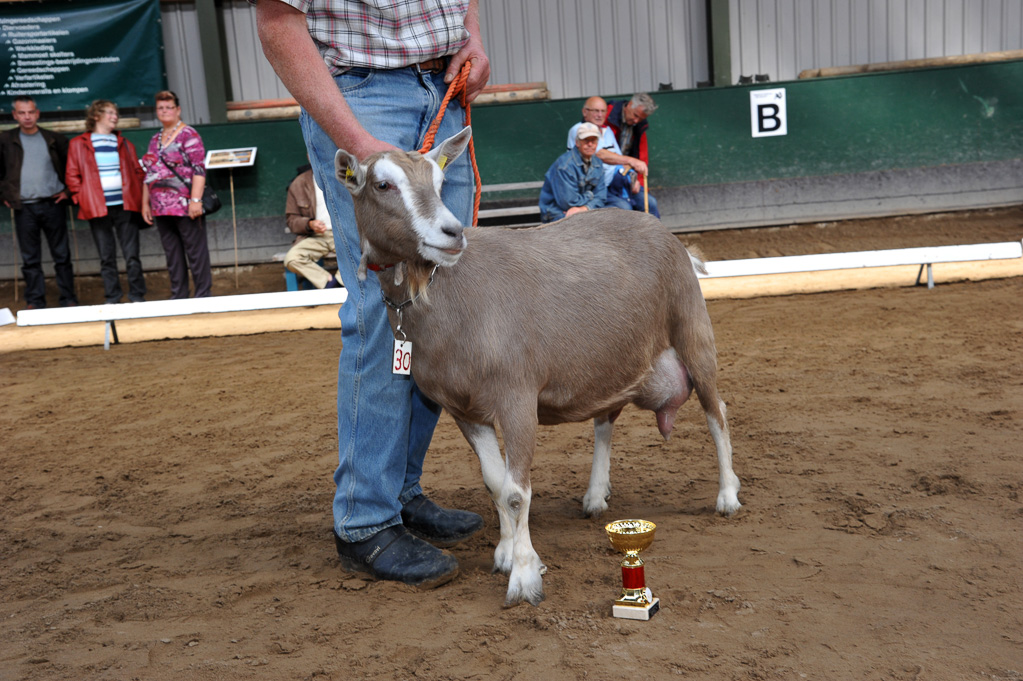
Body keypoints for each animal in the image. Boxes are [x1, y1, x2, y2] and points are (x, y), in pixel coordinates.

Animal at [339, 127, 740, 605]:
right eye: (383, 185)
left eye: (440, 183)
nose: (452, 233)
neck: (444, 292)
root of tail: (667, 234)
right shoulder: (464, 409)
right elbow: (495, 483)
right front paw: (506, 553)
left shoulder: (517, 397)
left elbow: (516, 493)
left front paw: (525, 576)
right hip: (614, 360)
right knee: (606, 420)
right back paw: (595, 496)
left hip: (693, 330)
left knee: (716, 411)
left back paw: (728, 495)